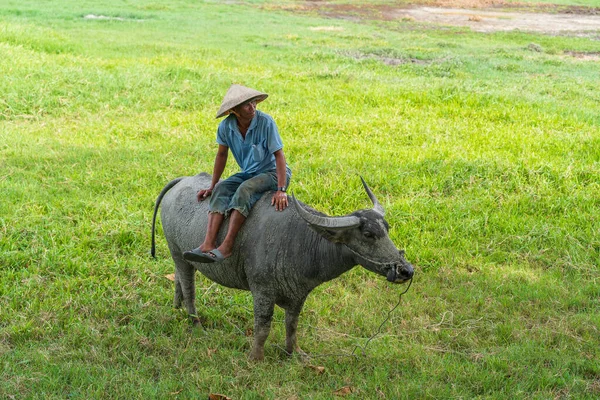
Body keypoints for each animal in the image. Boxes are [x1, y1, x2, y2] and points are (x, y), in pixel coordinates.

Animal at [150, 173, 412, 360]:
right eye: (368, 234)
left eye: (387, 228)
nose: (406, 270)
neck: (300, 240)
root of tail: (183, 180)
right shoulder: (262, 291)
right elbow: (263, 326)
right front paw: (256, 358)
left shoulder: (299, 294)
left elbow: (292, 325)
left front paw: (294, 353)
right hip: (178, 253)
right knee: (189, 288)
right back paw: (195, 323)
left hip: (181, 258)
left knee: (179, 280)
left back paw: (177, 307)